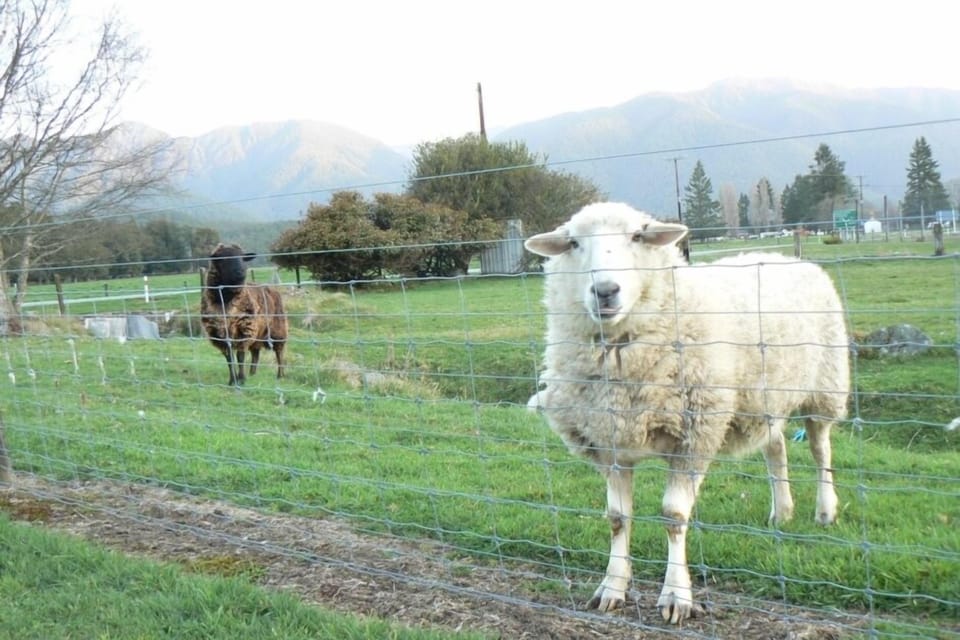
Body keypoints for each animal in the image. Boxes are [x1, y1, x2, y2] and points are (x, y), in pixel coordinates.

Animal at [201, 243, 288, 386]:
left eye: (242, 258)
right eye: (223, 258)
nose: (241, 272)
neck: (225, 300)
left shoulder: (245, 329)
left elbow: (240, 356)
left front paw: (241, 379)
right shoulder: (219, 334)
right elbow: (229, 358)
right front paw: (232, 380)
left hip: (278, 328)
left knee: (279, 352)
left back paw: (280, 375)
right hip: (259, 331)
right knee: (255, 352)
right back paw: (252, 373)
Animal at [524, 202, 849, 624]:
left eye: (637, 236)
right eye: (574, 243)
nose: (605, 291)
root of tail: (790, 258)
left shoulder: (694, 436)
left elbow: (673, 516)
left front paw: (677, 596)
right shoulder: (610, 442)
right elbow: (617, 518)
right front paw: (611, 588)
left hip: (825, 386)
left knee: (820, 450)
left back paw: (825, 511)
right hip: (765, 397)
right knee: (775, 450)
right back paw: (782, 512)